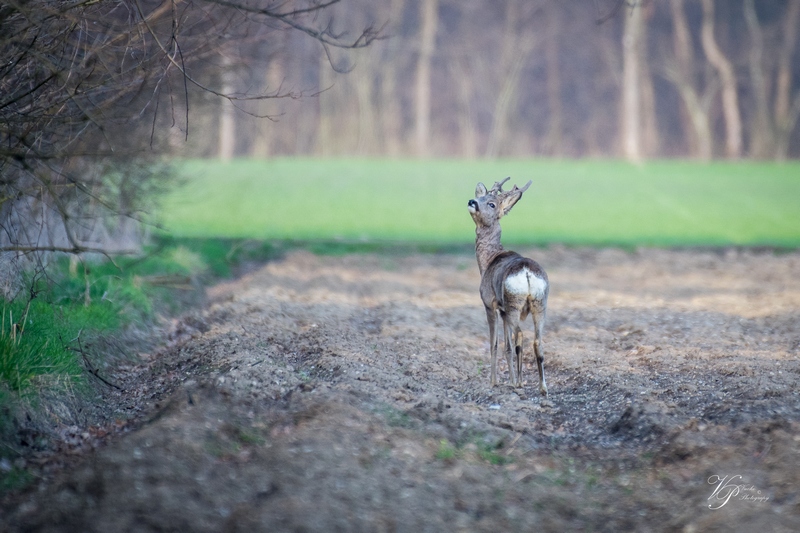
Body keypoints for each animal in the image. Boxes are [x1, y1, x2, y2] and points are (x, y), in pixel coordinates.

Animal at [468, 180, 552, 394]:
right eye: (481, 197)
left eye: (491, 204)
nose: (472, 202)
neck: (488, 260)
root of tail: (527, 272)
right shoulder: (503, 309)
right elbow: (506, 346)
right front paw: (510, 379)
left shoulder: (490, 303)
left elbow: (495, 344)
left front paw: (494, 382)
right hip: (540, 303)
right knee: (537, 340)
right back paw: (541, 387)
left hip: (514, 302)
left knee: (520, 334)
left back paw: (519, 383)